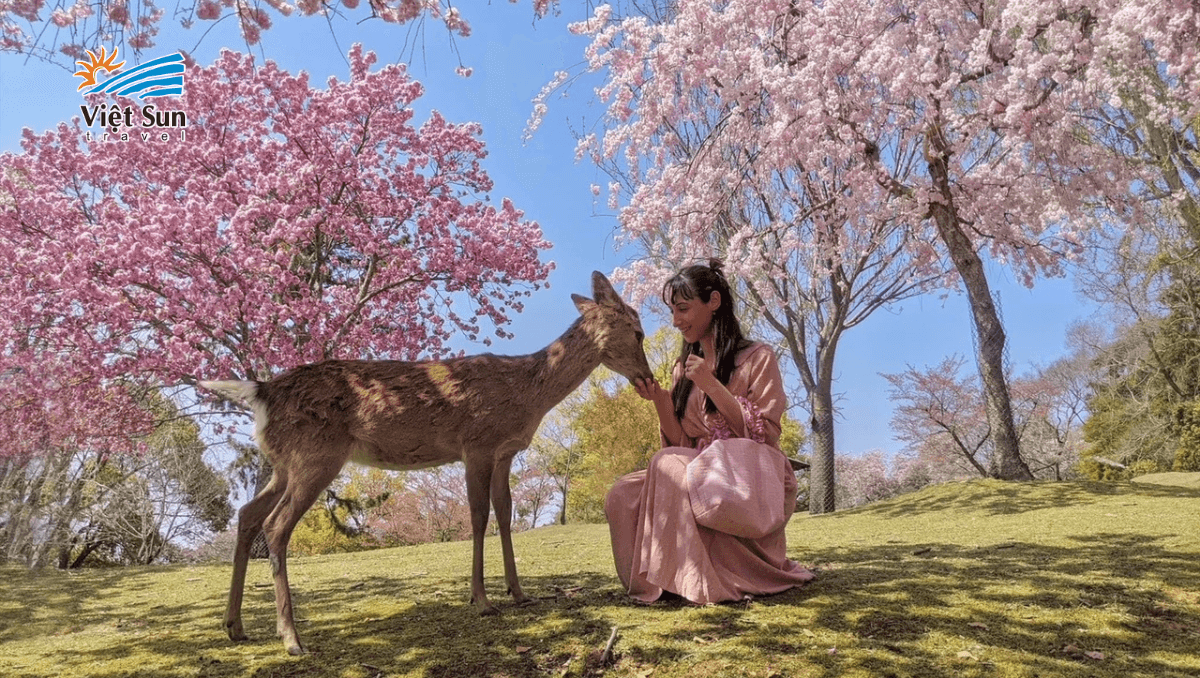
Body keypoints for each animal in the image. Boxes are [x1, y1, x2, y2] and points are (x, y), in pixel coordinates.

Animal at [201, 271, 652, 657]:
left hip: (283, 463)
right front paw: (481, 600)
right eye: (639, 331)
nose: (648, 379)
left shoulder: (505, 452)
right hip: (316, 455)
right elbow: (478, 516)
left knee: (247, 515)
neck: (526, 395)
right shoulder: (477, 443)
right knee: (276, 525)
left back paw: (235, 626)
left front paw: (519, 593)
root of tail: (262, 392)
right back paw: (292, 638)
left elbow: (505, 514)